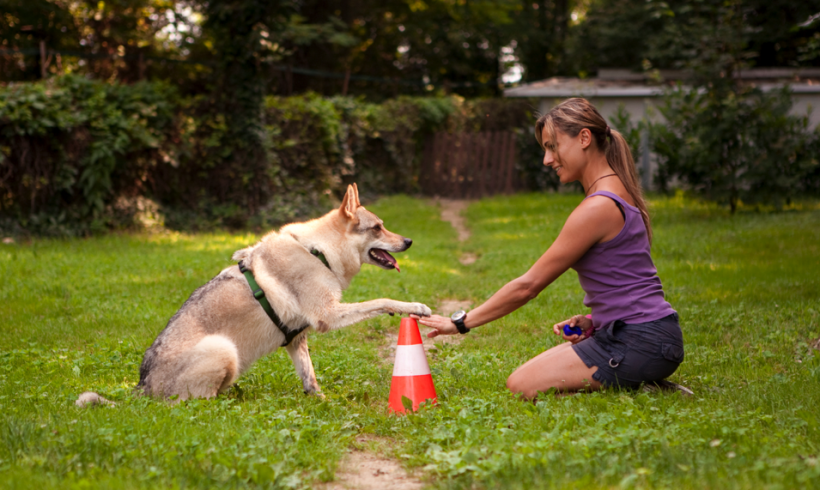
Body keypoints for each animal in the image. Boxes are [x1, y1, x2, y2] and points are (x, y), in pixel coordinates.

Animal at [77, 184, 432, 406]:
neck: (319, 252)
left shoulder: (296, 339)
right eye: (378, 228)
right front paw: (413, 306)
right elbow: (382, 301)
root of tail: (142, 388)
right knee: (191, 405)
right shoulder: (329, 316)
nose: (410, 242)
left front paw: (321, 402)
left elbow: (310, 379)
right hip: (224, 350)